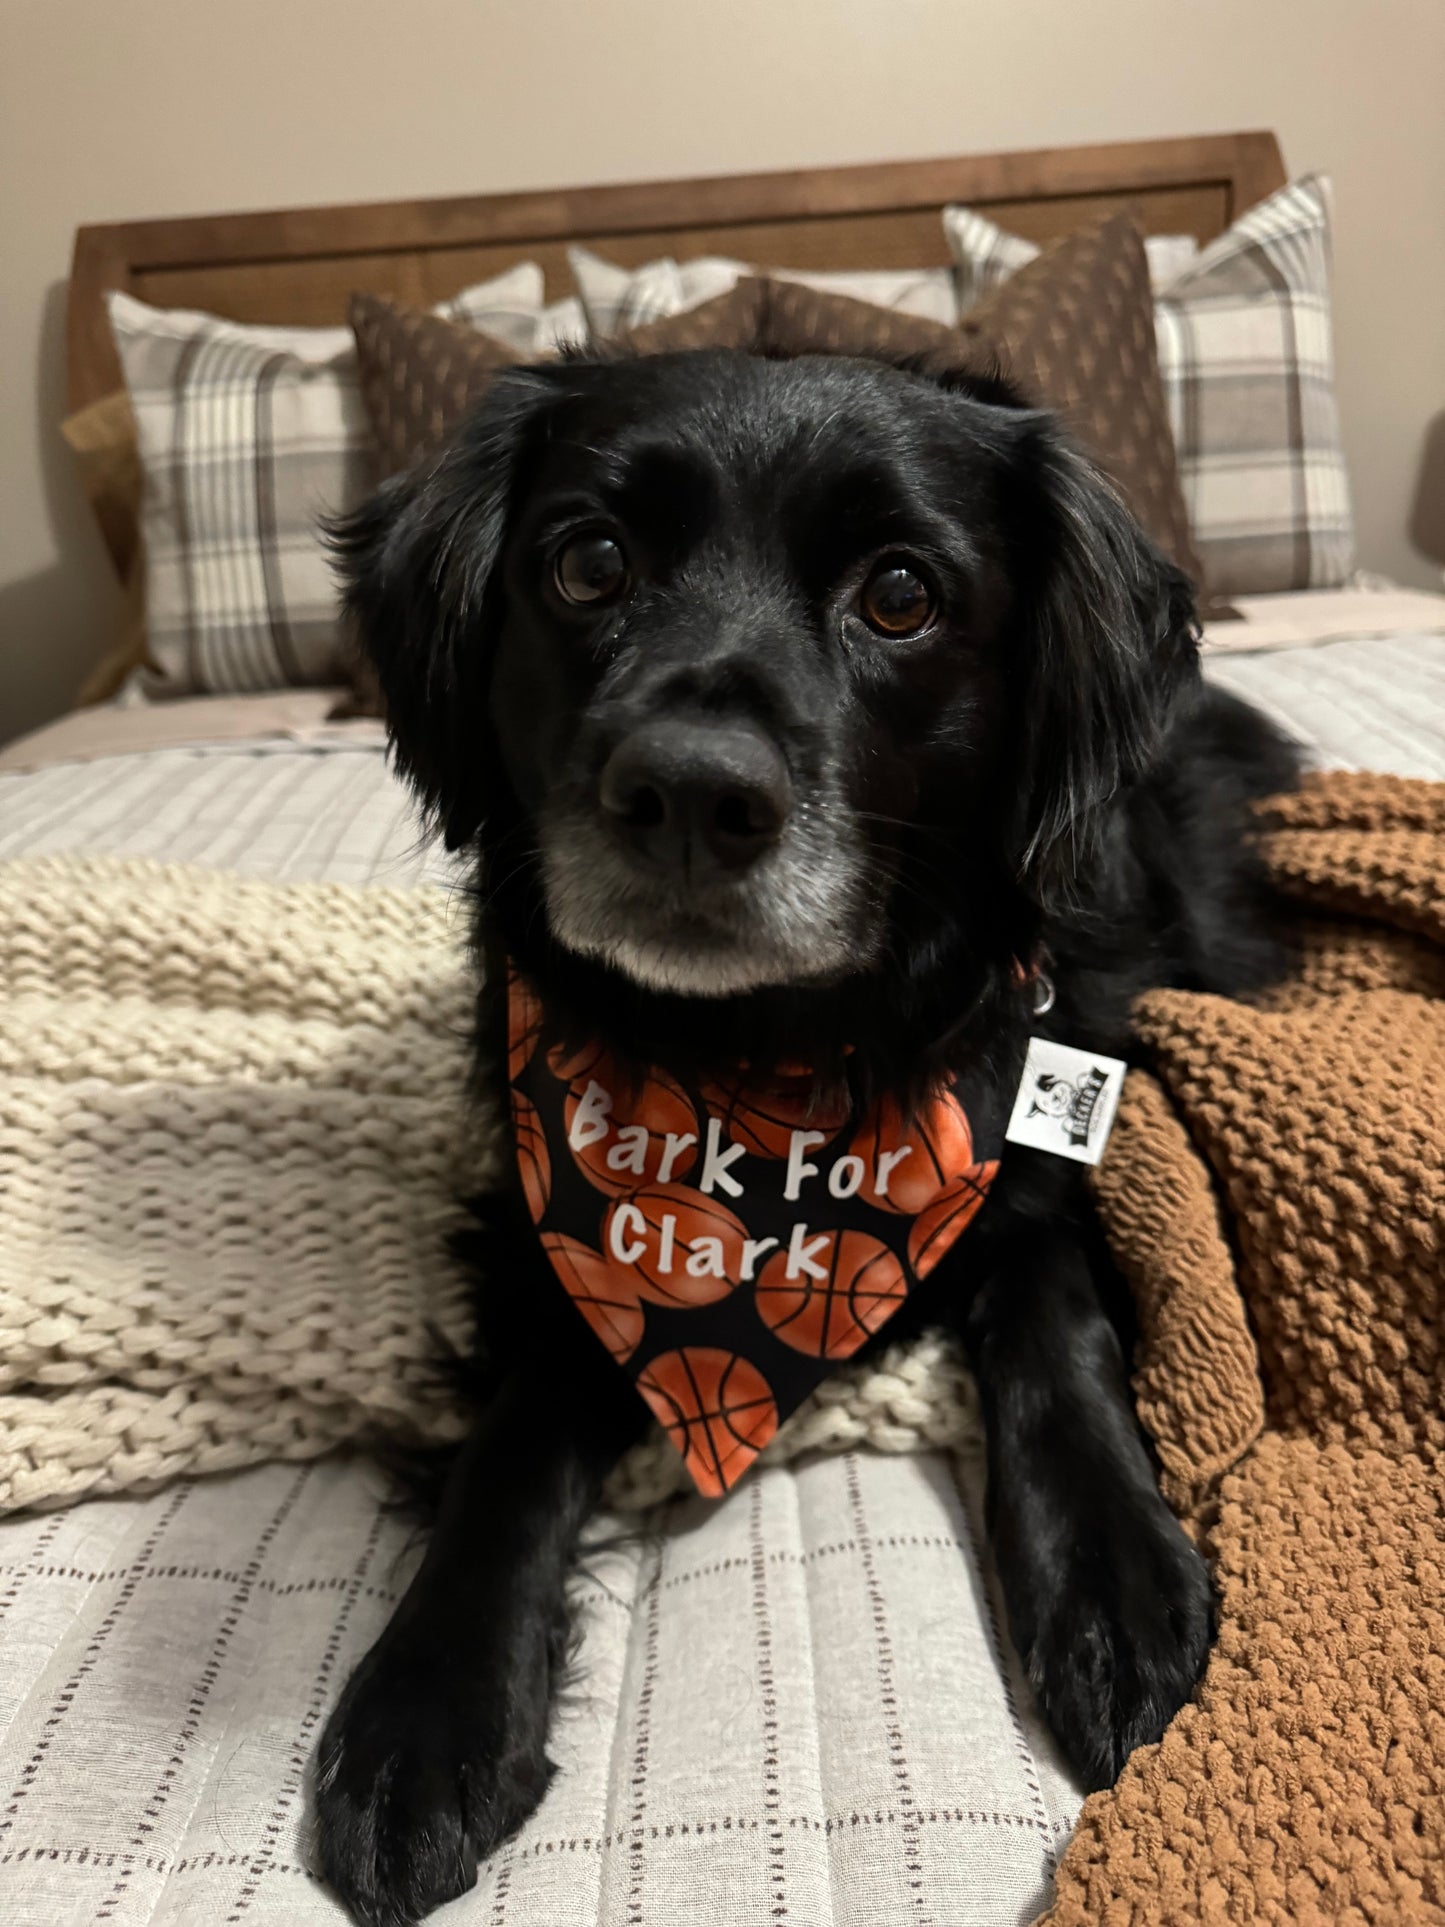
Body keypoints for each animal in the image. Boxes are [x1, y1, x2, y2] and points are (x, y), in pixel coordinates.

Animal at [312, 350, 1294, 1927]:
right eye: (588, 562)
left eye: (899, 593)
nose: (691, 796)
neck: (762, 1082)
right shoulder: (533, 1241)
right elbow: (507, 1446)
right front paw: (428, 1704)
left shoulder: (1034, 1143)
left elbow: (1060, 1333)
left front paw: (1116, 1576)